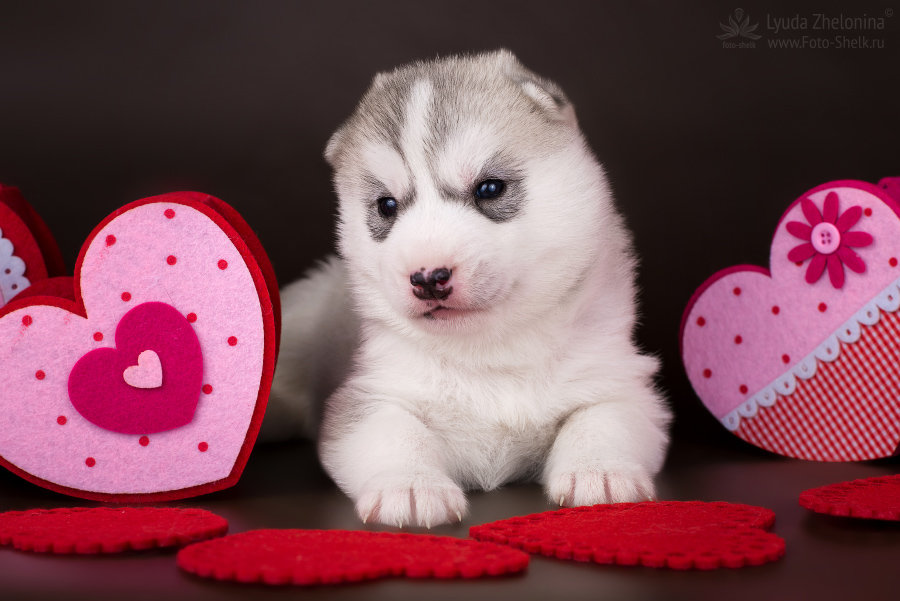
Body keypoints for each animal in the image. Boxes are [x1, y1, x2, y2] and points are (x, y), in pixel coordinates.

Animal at [270, 49, 672, 524]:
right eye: (386, 206)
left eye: (490, 188)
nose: (427, 278)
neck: (490, 354)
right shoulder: (368, 396)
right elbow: (393, 432)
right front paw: (410, 485)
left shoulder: (619, 384)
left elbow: (602, 420)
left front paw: (601, 472)